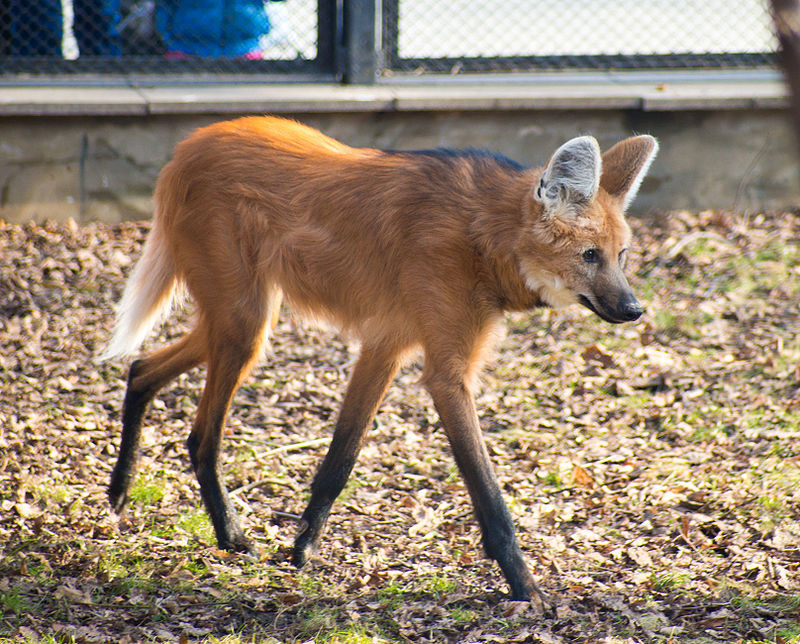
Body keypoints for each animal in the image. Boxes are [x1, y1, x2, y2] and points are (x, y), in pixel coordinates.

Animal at [103, 114, 660, 600]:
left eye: (622, 256)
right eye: (590, 255)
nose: (634, 309)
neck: (483, 237)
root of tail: (188, 145)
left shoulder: (385, 344)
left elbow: (340, 460)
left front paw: (301, 551)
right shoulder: (445, 374)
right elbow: (489, 495)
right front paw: (526, 587)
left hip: (244, 322)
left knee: (142, 369)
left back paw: (119, 493)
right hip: (243, 322)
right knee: (201, 435)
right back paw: (229, 535)